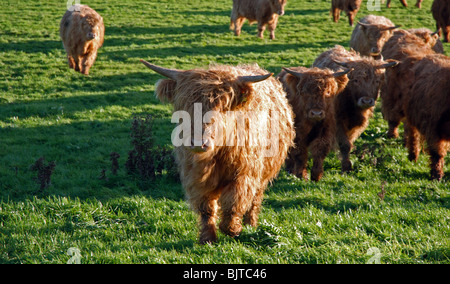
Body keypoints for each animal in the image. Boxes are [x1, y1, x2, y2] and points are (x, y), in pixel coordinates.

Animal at [141, 60, 296, 244]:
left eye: (221, 107)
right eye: (185, 106)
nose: (198, 142)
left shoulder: (244, 174)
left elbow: (233, 203)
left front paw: (233, 229)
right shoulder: (195, 177)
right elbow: (206, 208)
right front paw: (207, 238)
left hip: (264, 172)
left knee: (255, 199)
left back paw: (250, 224)